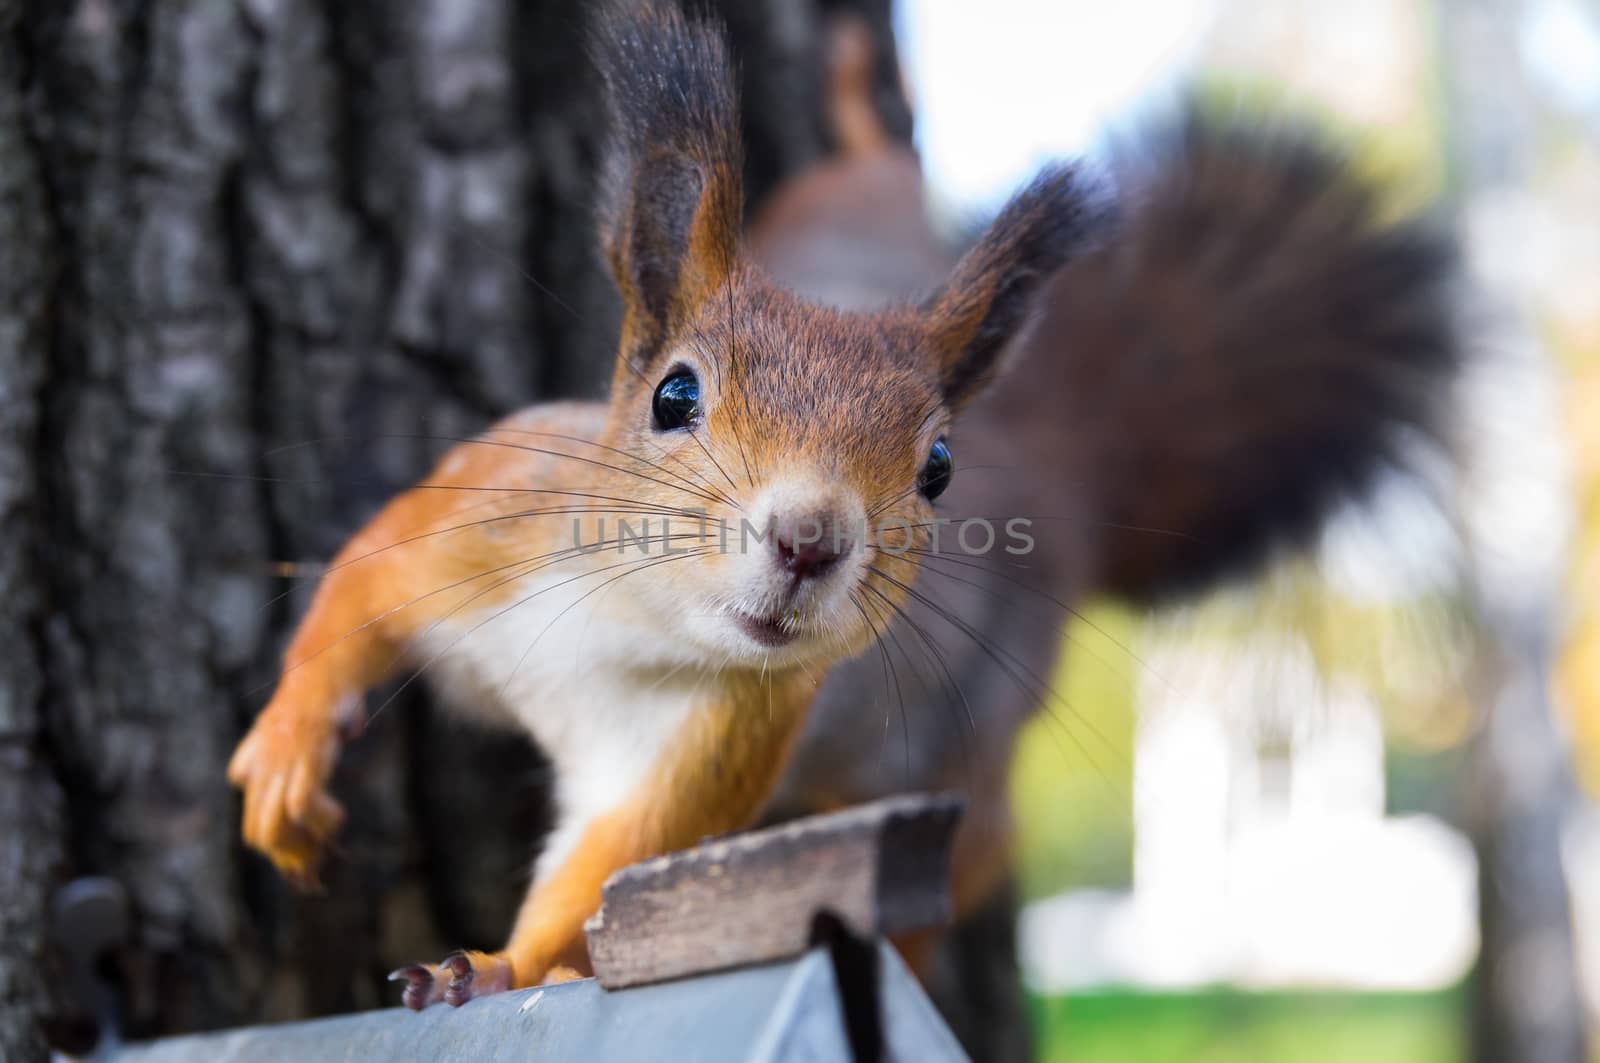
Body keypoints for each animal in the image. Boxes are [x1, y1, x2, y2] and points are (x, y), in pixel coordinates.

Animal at [225, 0, 1100, 1011]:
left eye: (940, 469)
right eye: (673, 396)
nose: (810, 541)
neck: (624, 613)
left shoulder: (723, 733)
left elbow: (609, 862)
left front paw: (495, 967)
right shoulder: (481, 519)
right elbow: (357, 589)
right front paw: (287, 749)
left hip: (960, 760)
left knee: (966, 853)